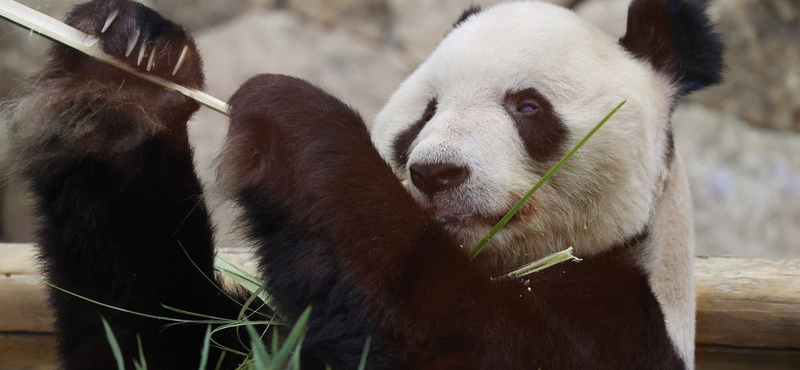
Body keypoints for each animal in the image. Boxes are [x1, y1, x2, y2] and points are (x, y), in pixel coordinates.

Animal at [3, 0, 720, 368]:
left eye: (527, 107)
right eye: (424, 114)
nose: (435, 172)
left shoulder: (619, 327)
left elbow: (441, 337)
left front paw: (287, 114)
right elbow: (153, 333)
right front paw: (126, 67)